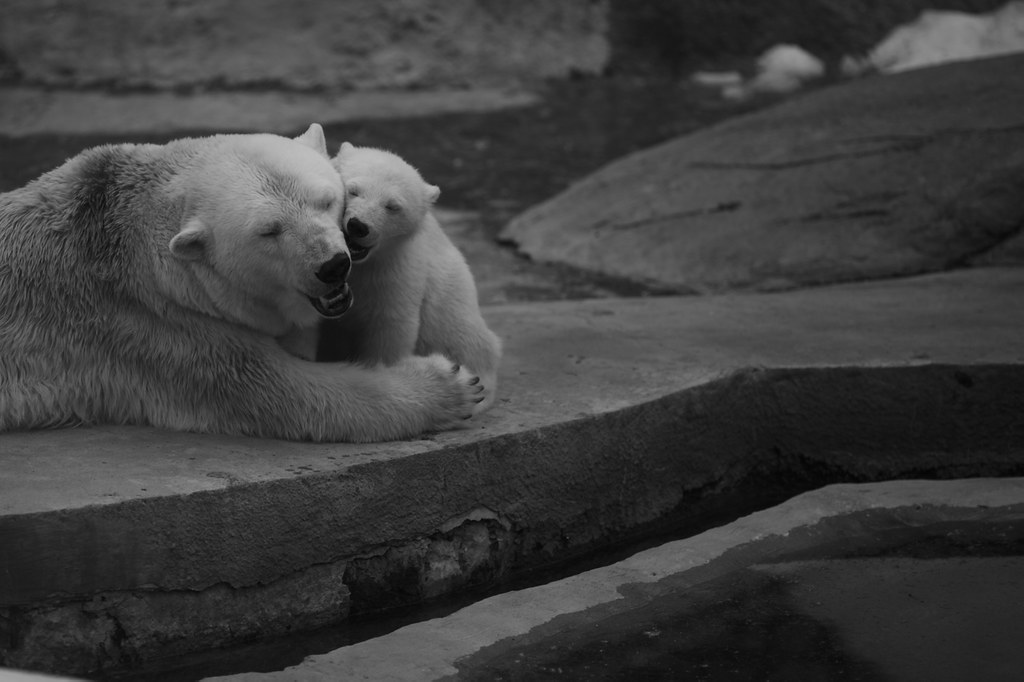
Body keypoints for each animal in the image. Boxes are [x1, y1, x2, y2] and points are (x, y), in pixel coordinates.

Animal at [316, 143, 502, 412]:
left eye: (393, 206)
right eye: (353, 190)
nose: (358, 226)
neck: (361, 265)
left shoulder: (395, 272)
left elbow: (390, 327)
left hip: (449, 293)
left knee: (463, 334)